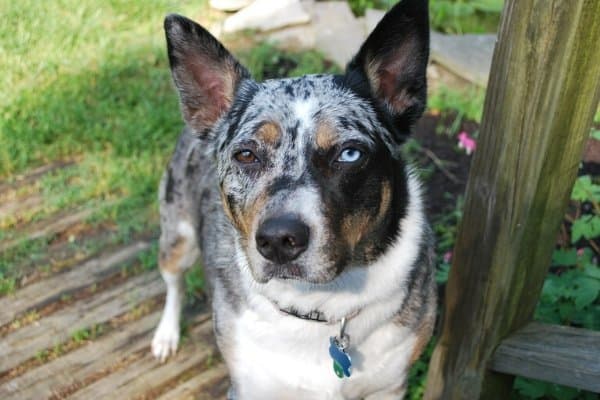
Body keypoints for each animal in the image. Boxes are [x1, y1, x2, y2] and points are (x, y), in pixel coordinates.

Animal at [151, 0, 436, 396]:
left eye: (350, 153)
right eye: (246, 155)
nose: (278, 240)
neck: (320, 305)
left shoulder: (389, 388)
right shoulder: (251, 388)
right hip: (179, 236)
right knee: (173, 282)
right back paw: (166, 335)